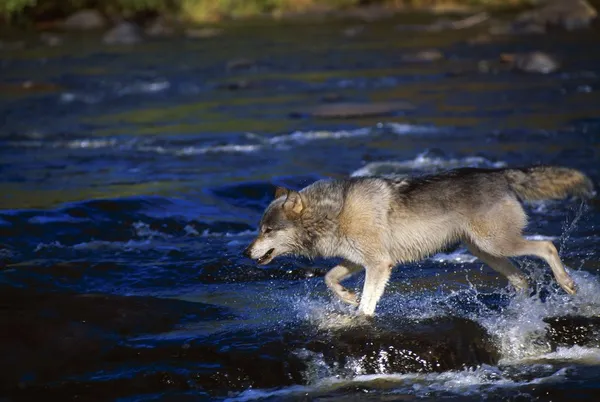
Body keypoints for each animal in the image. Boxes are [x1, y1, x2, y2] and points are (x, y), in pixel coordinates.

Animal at [241, 166, 592, 318]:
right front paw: (348, 298)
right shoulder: (357, 261)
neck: (333, 212)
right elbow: (328, 278)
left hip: (496, 244)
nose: (245, 251)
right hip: (485, 251)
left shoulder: (379, 264)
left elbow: (367, 304)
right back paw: (519, 310)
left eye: (267, 230)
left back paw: (567, 284)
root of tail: (500, 174)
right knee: (521, 279)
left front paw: (360, 315)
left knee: (547, 246)